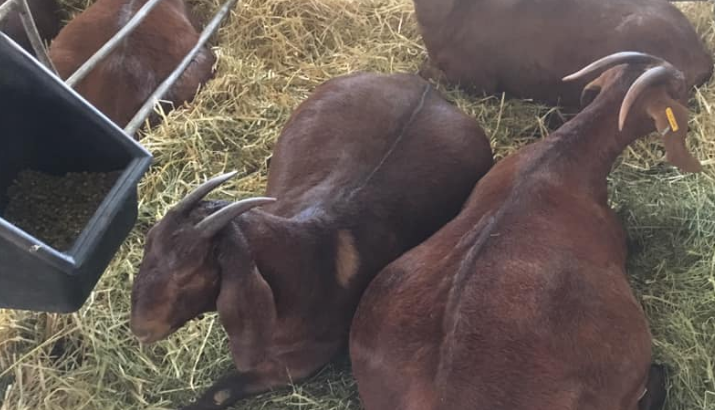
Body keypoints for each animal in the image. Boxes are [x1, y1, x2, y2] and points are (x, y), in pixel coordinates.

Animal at [129, 71, 494, 410]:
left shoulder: (299, 363)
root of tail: (426, 88)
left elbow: (221, 390)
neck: (310, 255)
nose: (140, 328)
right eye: (149, 242)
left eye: (191, 275)